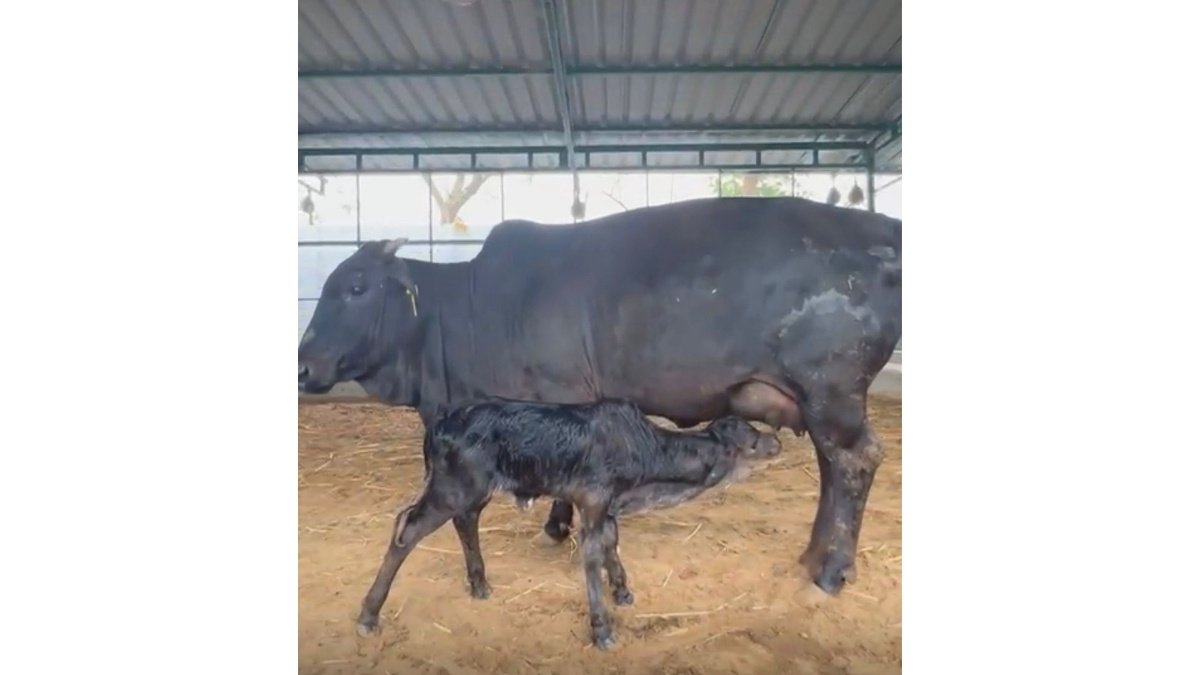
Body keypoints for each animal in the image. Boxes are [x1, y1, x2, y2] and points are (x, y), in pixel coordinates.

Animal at [298, 196, 902, 595]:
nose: (303, 366)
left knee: (854, 461)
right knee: (832, 467)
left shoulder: (560, 398)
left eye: (356, 287)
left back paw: (830, 568)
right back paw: (814, 555)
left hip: (831, 392)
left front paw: (557, 526)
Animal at [354, 398, 783, 649]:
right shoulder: (592, 499)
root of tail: (438, 426)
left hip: (472, 489)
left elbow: (611, 542)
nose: (777, 442)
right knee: (407, 529)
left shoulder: (606, 505)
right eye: (752, 437)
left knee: (464, 521)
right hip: (452, 487)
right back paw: (369, 614)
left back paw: (479, 583)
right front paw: (602, 628)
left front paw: (623, 591)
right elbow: (592, 553)